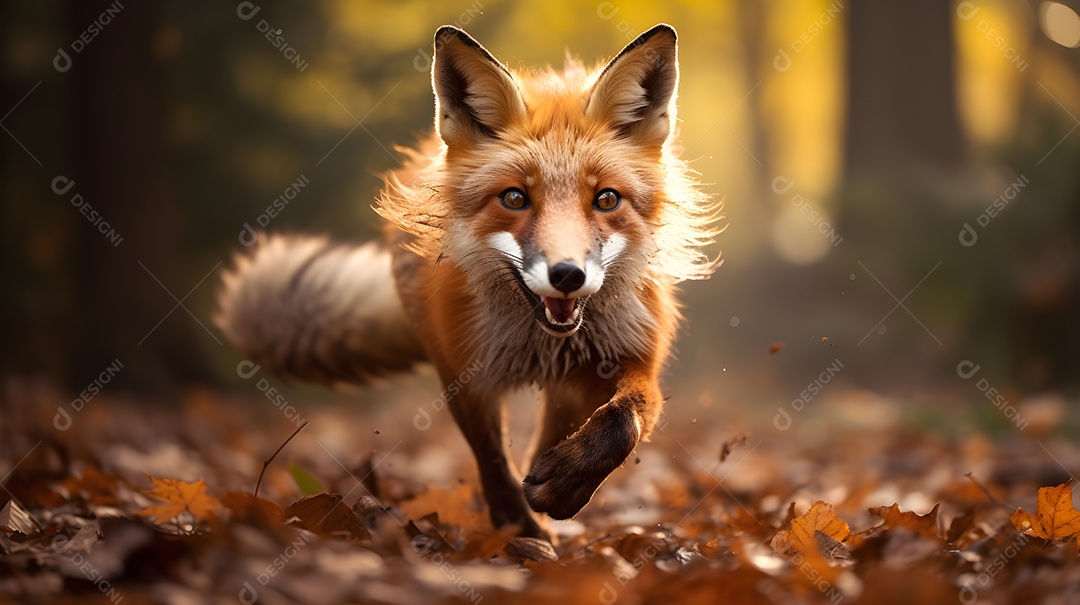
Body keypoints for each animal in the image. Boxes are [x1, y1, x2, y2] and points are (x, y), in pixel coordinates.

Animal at [216, 24, 719, 539]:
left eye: (606, 199)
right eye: (514, 198)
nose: (567, 275)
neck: (538, 343)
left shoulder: (630, 358)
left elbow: (624, 422)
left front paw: (562, 486)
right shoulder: (464, 373)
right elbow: (492, 461)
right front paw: (521, 530)